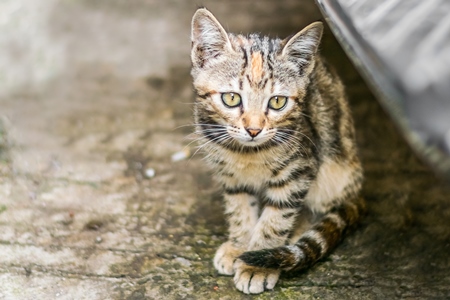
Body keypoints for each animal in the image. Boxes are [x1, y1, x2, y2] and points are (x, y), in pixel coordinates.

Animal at [190, 8, 366, 294]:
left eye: (277, 102)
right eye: (231, 98)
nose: (253, 130)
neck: (248, 153)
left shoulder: (299, 170)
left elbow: (276, 218)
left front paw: (256, 265)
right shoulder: (230, 174)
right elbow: (239, 207)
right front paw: (239, 246)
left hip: (335, 168)